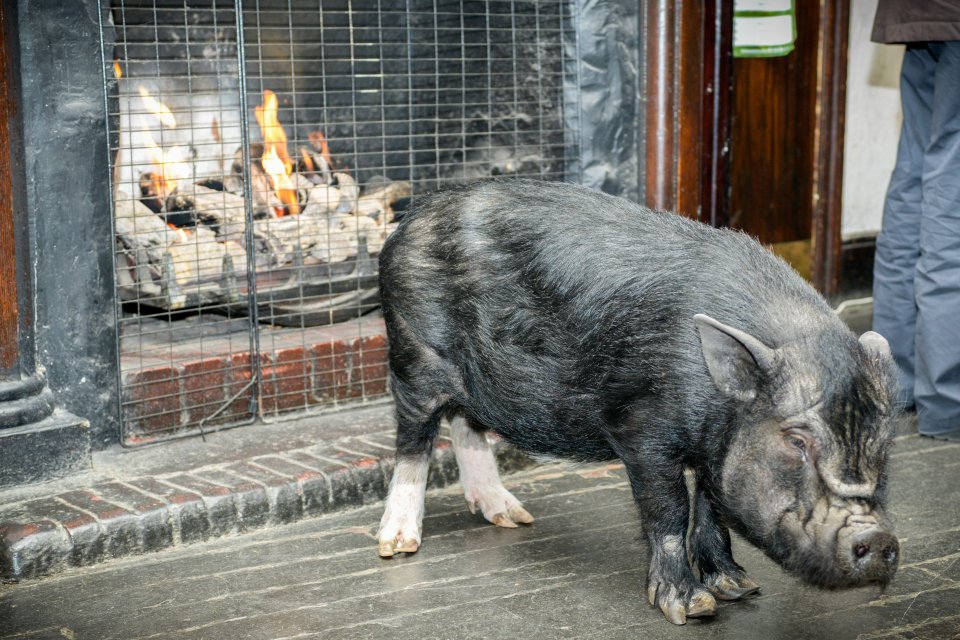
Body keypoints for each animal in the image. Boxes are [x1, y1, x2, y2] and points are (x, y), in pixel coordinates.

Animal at [374, 179, 900, 624]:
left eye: (882, 443)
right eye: (796, 441)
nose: (876, 538)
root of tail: (411, 220)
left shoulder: (712, 446)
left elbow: (710, 507)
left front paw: (740, 587)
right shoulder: (641, 430)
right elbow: (670, 510)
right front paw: (691, 608)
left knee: (466, 425)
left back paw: (513, 517)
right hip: (414, 355)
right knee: (414, 439)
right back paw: (398, 544)